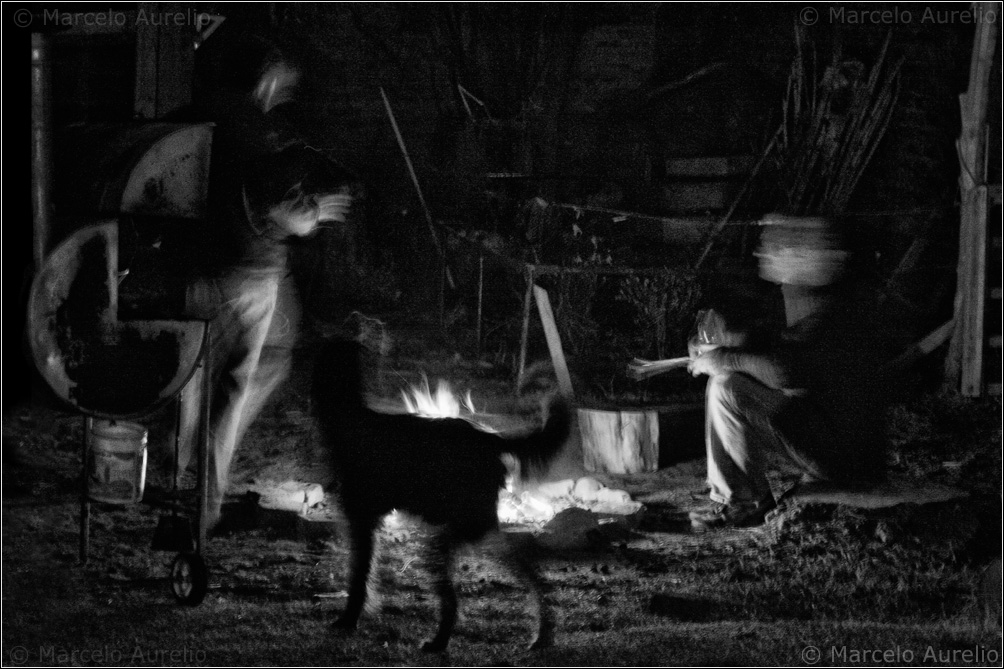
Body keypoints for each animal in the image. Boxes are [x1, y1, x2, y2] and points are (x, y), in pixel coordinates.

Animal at [309, 335, 570, 646]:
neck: (351, 416)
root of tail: (490, 438)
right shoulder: (368, 522)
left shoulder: (361, 521)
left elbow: (359, 577)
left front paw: (349, 619)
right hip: (478, 532)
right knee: (532, 575)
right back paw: (541, 635)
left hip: (448, 538)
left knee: (453, 600)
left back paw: (440, 642)